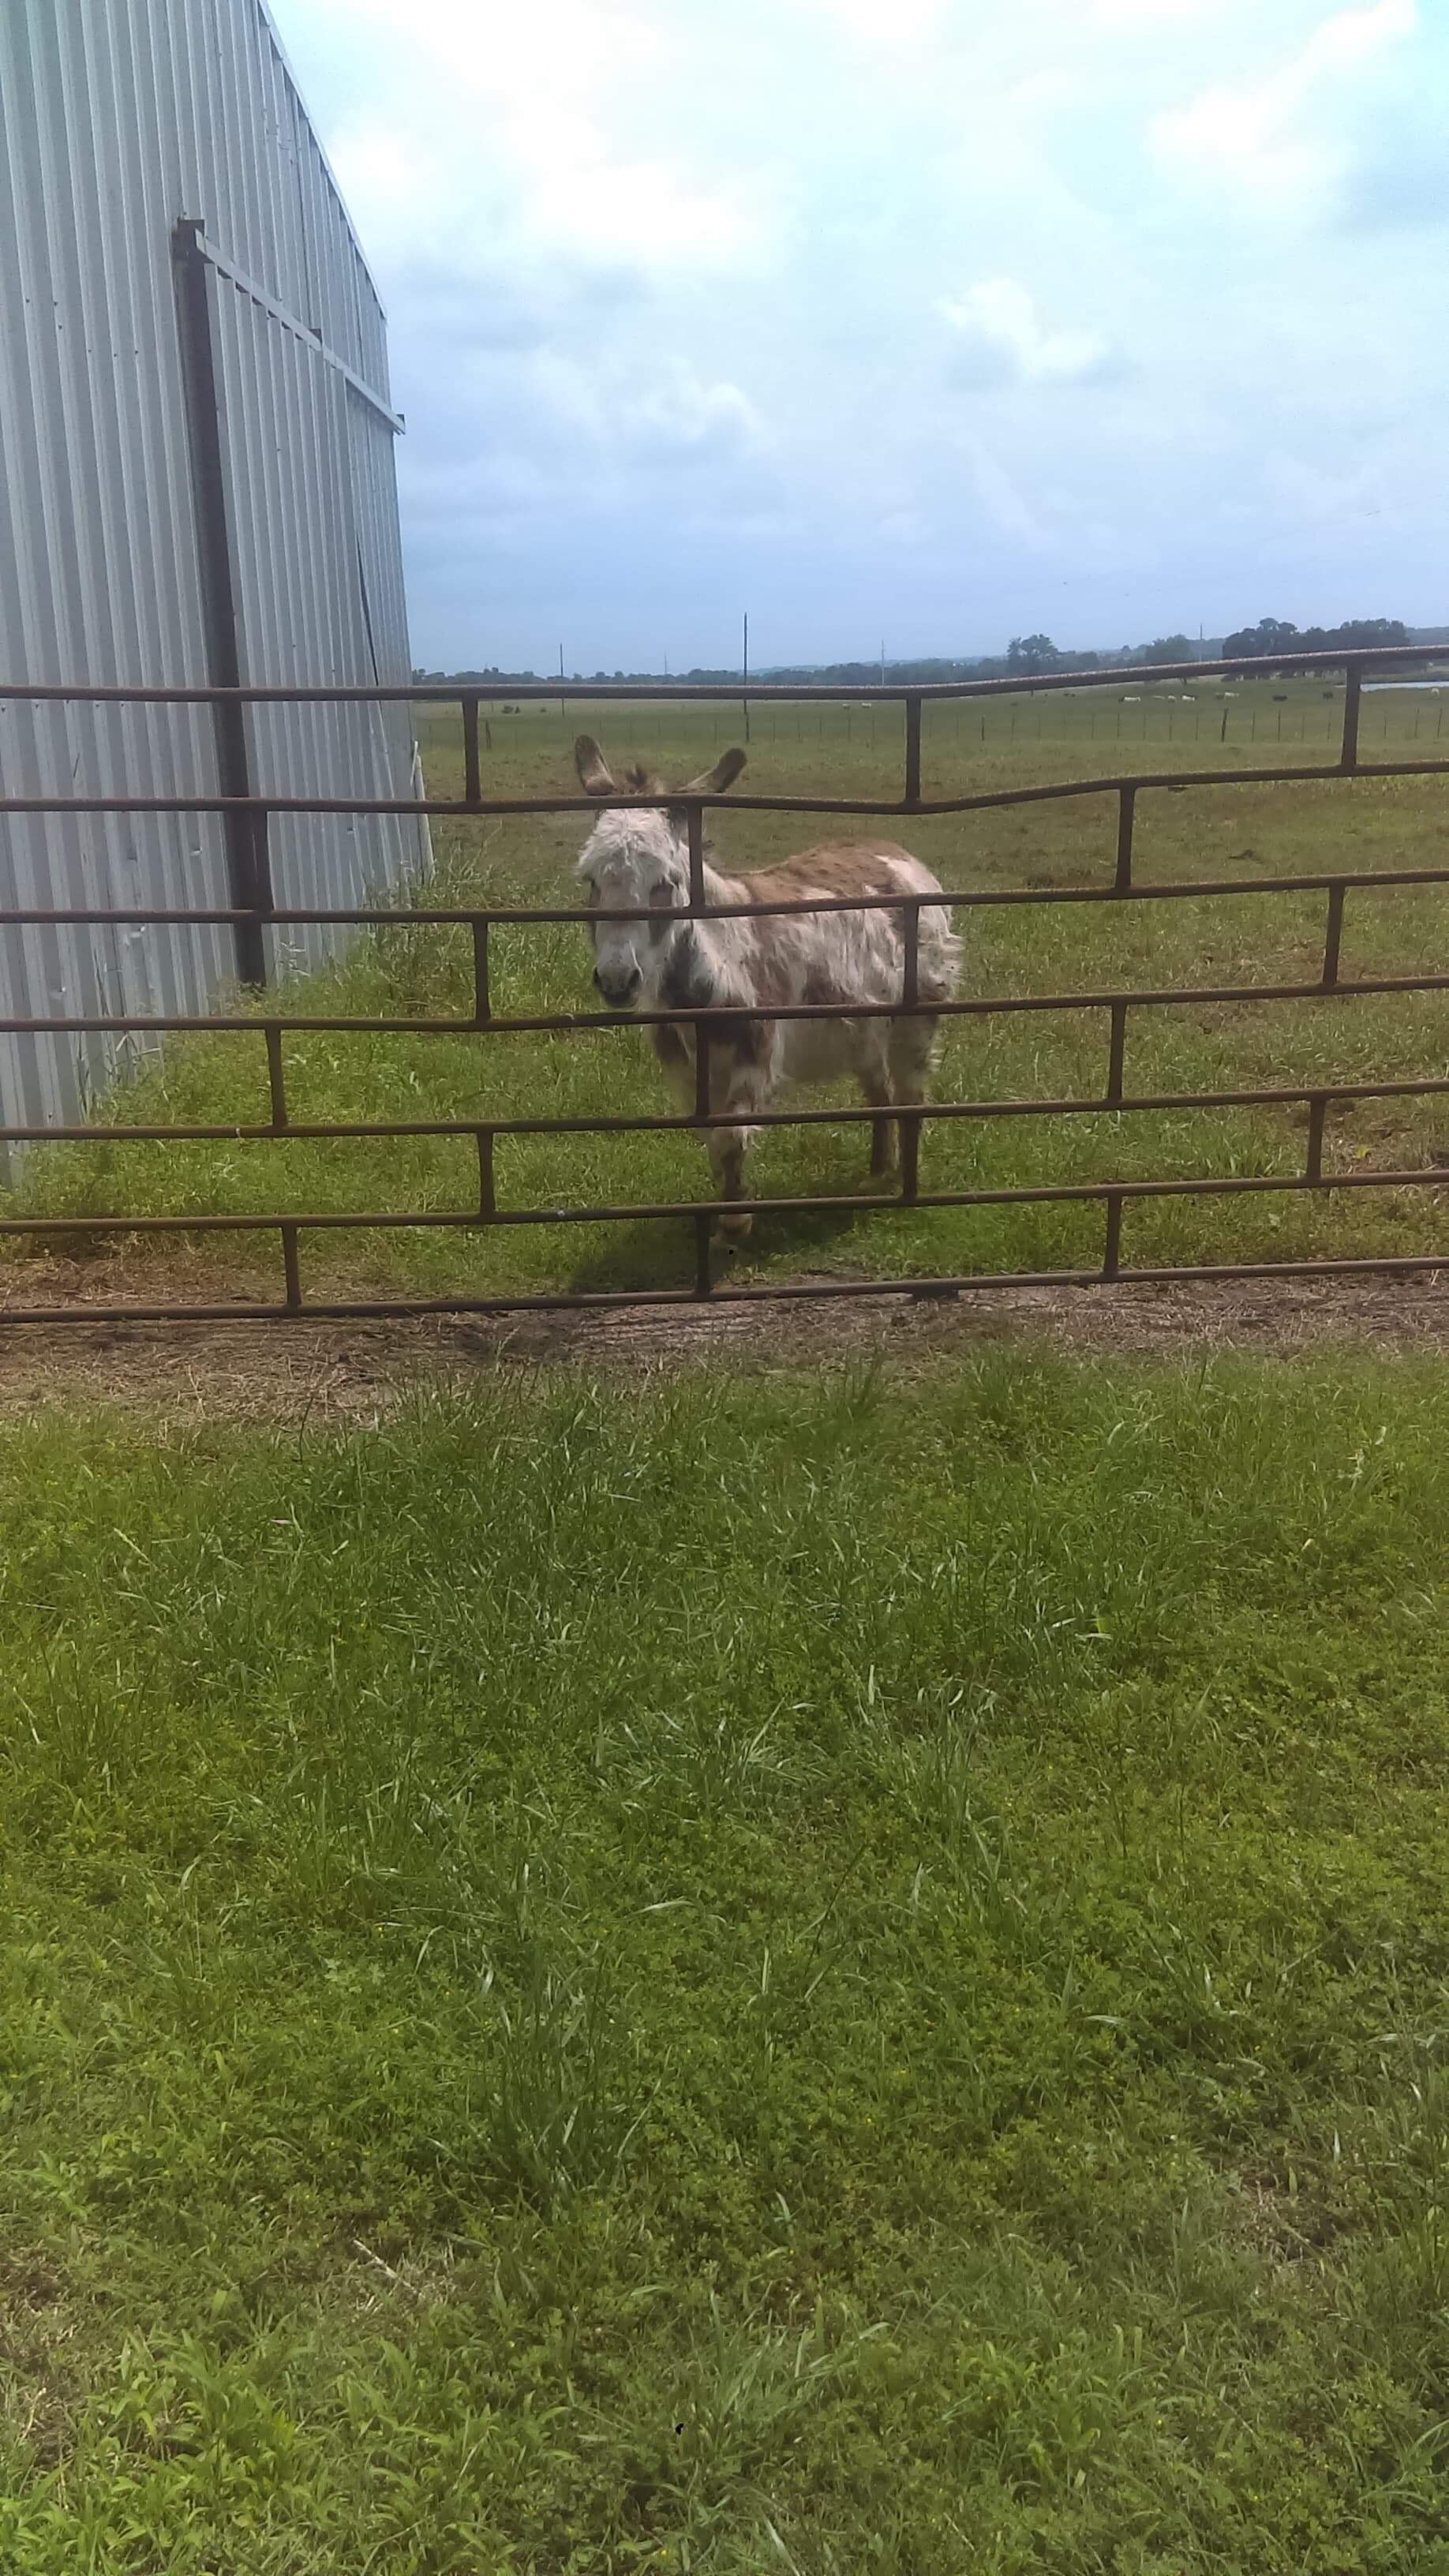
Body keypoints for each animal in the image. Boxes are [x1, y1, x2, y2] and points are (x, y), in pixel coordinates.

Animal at [573, 735, 961, 1239]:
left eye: (667, 882)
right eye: (591, 881)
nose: (617, 981)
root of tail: (895, 850)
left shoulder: (753, 1059)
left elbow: (733, 1137)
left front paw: (735, 1226)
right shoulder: (688, 1075)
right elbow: (714, 1138)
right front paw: (727, 1211)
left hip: (918, 1013)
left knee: (911, 1095)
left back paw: (905, 1187)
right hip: (864, 1024)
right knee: (880, 1092)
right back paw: (877, 1172)